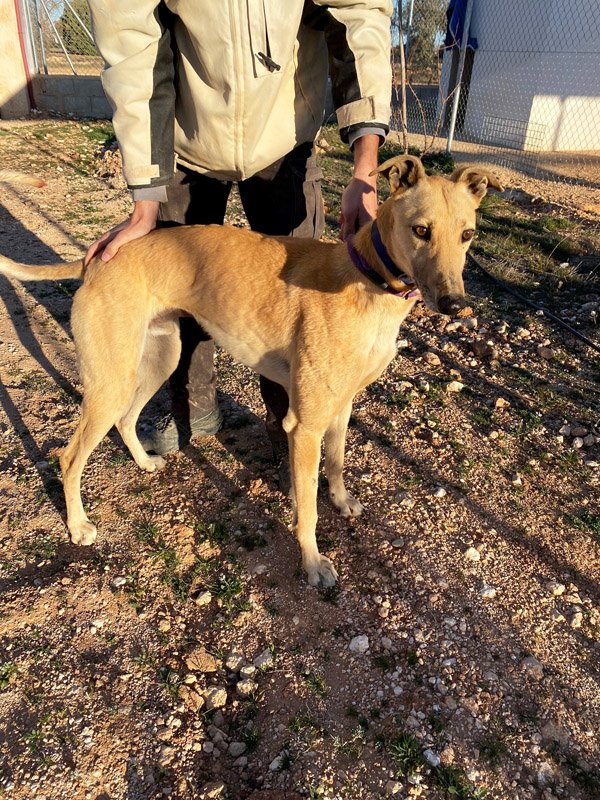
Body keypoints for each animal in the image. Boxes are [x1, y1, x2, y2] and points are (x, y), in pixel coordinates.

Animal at [0, 156, 501, 587]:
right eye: (421, 230)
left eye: (467, 235)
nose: (455, 305)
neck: (367, 278)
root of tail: (99, 257)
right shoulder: (305, 425)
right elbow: (307, 509)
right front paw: (313, 563)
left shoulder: (341, 407)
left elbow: (337, 464)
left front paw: (341, 501)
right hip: (112, 380)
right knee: (69, 457)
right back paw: (79, 526)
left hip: (158, 359)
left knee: (126, 419)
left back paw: (143, 462)